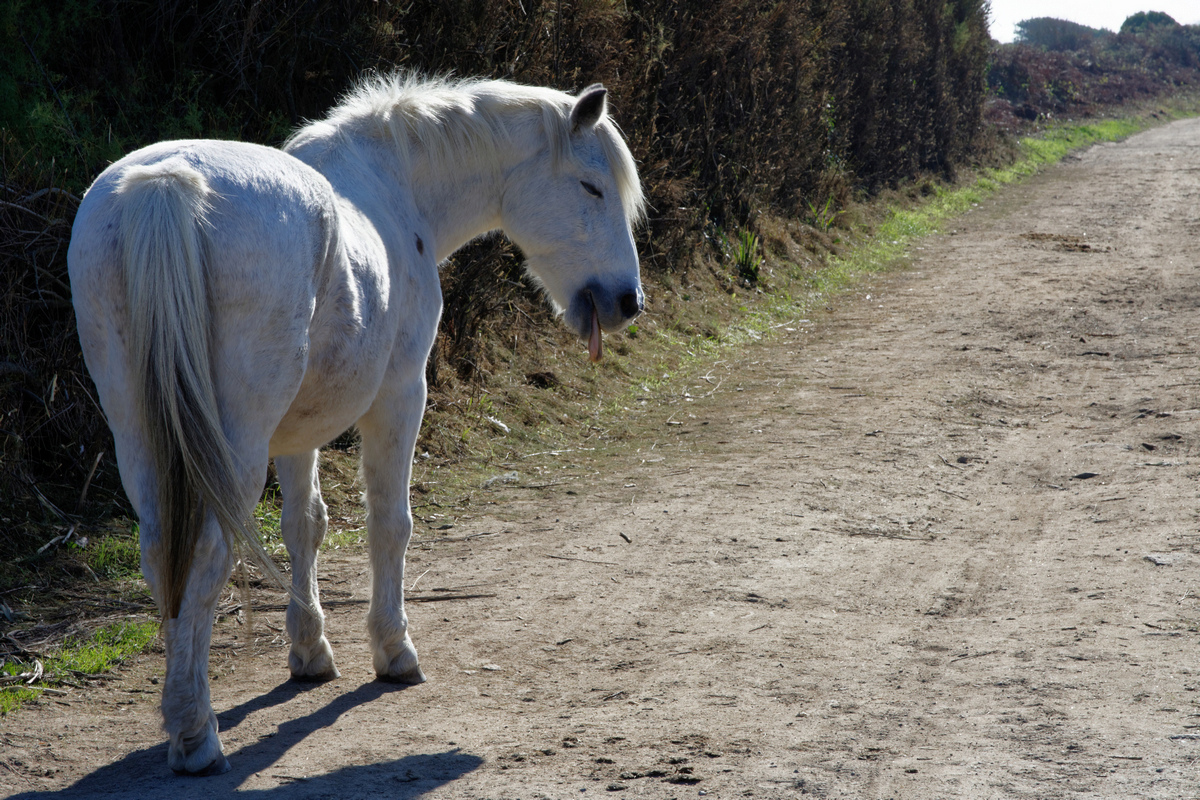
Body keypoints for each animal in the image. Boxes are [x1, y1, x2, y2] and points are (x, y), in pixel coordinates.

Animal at [65, 74, 648, 777]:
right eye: (591, 186)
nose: (626, 302)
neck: (396, 189)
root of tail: (167, 184)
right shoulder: (400, 396)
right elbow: (390, 524)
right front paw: (394, 651)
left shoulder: (295, 433)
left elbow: (304, 526)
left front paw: (310, 652)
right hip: (232, 447)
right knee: (207, 554)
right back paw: (196, 734)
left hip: (142, 437)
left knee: (160, 554)